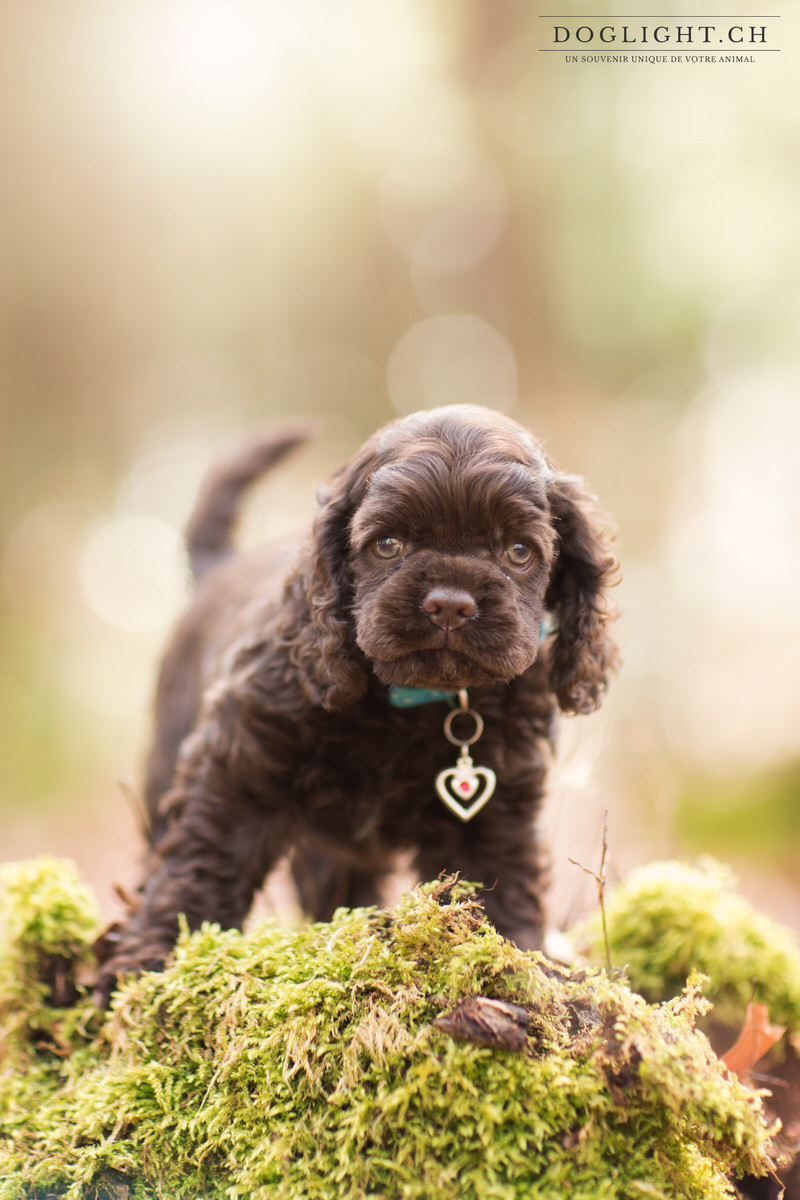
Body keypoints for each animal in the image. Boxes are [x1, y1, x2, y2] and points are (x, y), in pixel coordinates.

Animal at [98, 403, 618, 993]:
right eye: (388, 545)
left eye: (519, 551)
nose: (450, 605)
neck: (411, 705)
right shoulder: (240, 762)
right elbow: (203, 857)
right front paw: (154, 961)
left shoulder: (495, 803)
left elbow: (499, 883)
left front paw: (518, 963)